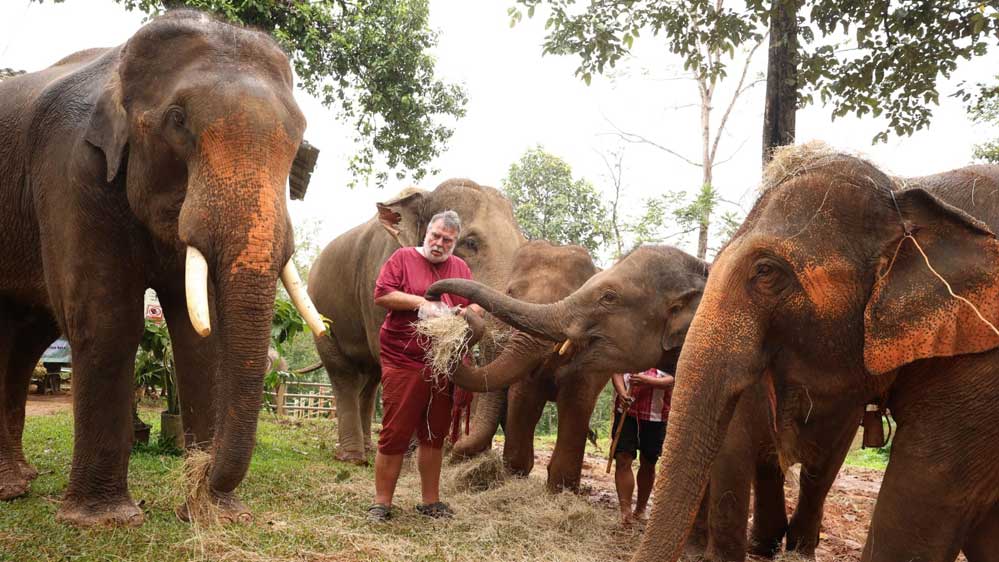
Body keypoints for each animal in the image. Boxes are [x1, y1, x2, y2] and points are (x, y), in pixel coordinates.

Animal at [0, 11, 325, 526]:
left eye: (297, 141)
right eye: (178, 120)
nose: (204, 470)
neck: (119, 66)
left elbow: (201, 336)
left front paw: (214, 515)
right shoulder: (70, 171)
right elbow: (106, 321)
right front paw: (106, 520)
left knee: (24, 338)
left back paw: (16, 484)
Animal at [307, 179, 524, 464]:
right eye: (470, 243)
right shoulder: (376, 274)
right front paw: (408, 452)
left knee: (371, 378)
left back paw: (368, 448)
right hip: (319, 312)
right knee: (343, 372)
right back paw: (354, 456)